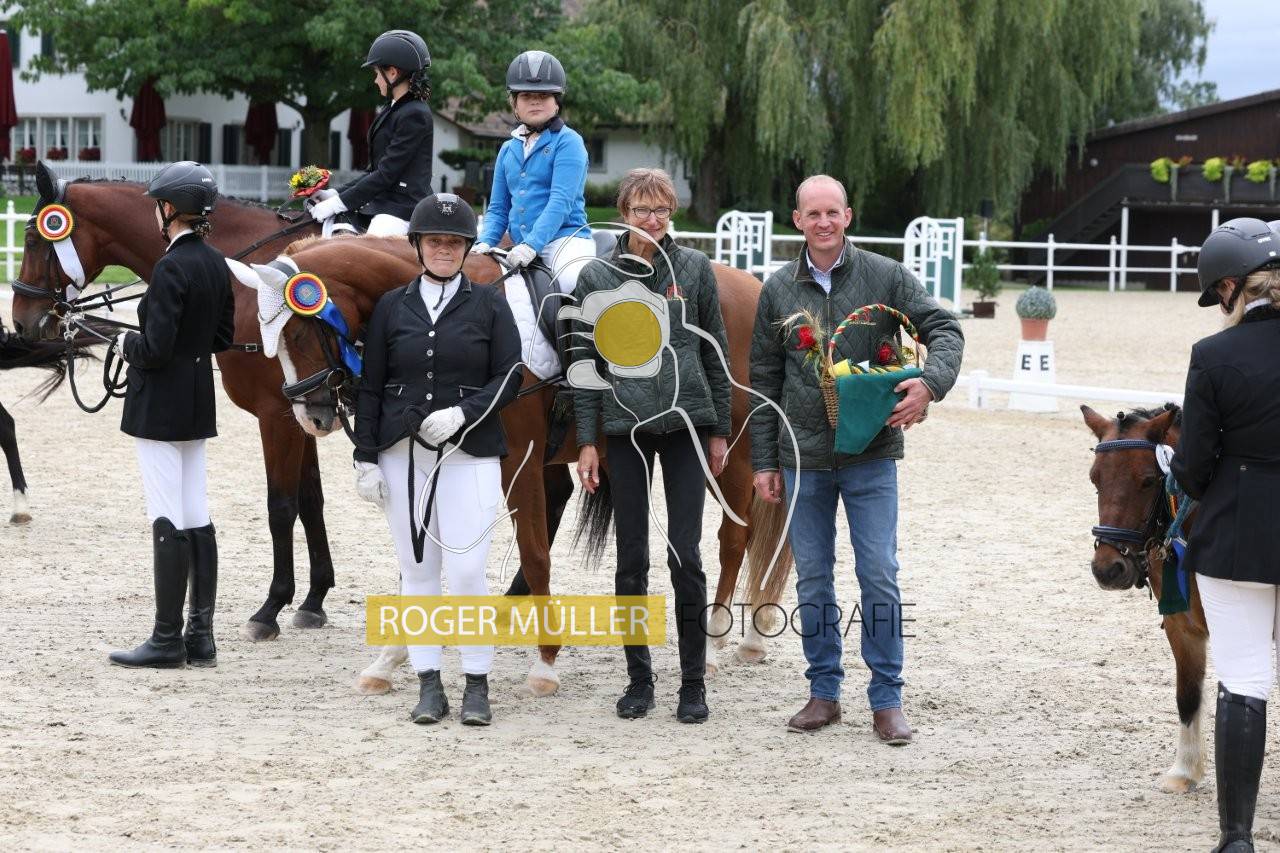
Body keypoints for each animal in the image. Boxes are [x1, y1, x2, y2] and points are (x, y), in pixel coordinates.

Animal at [8, 161, 351, 641]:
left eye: (36, 238)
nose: (22, 323)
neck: (246, 276)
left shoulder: (277, 415)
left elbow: (281, 507)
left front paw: (271, 608)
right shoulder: (304, 414)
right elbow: (311, 501)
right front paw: (314, 599)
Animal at [243, 234, 795, 695]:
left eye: (301, 333)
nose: (311, 417)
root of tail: (752, 285)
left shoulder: (521, 464)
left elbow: (534, 553)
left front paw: (545, 664)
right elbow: (414, 563)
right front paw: (389, 659)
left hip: (731, 451)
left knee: (734, 540)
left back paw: (718, 643)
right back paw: (751, 637)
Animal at [1082, 403, 1208, 793]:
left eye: (1149, 481)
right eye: (1095, 480)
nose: (1108, 570)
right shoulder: (1182, 626)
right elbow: (1187, 695)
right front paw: (1184, 773)